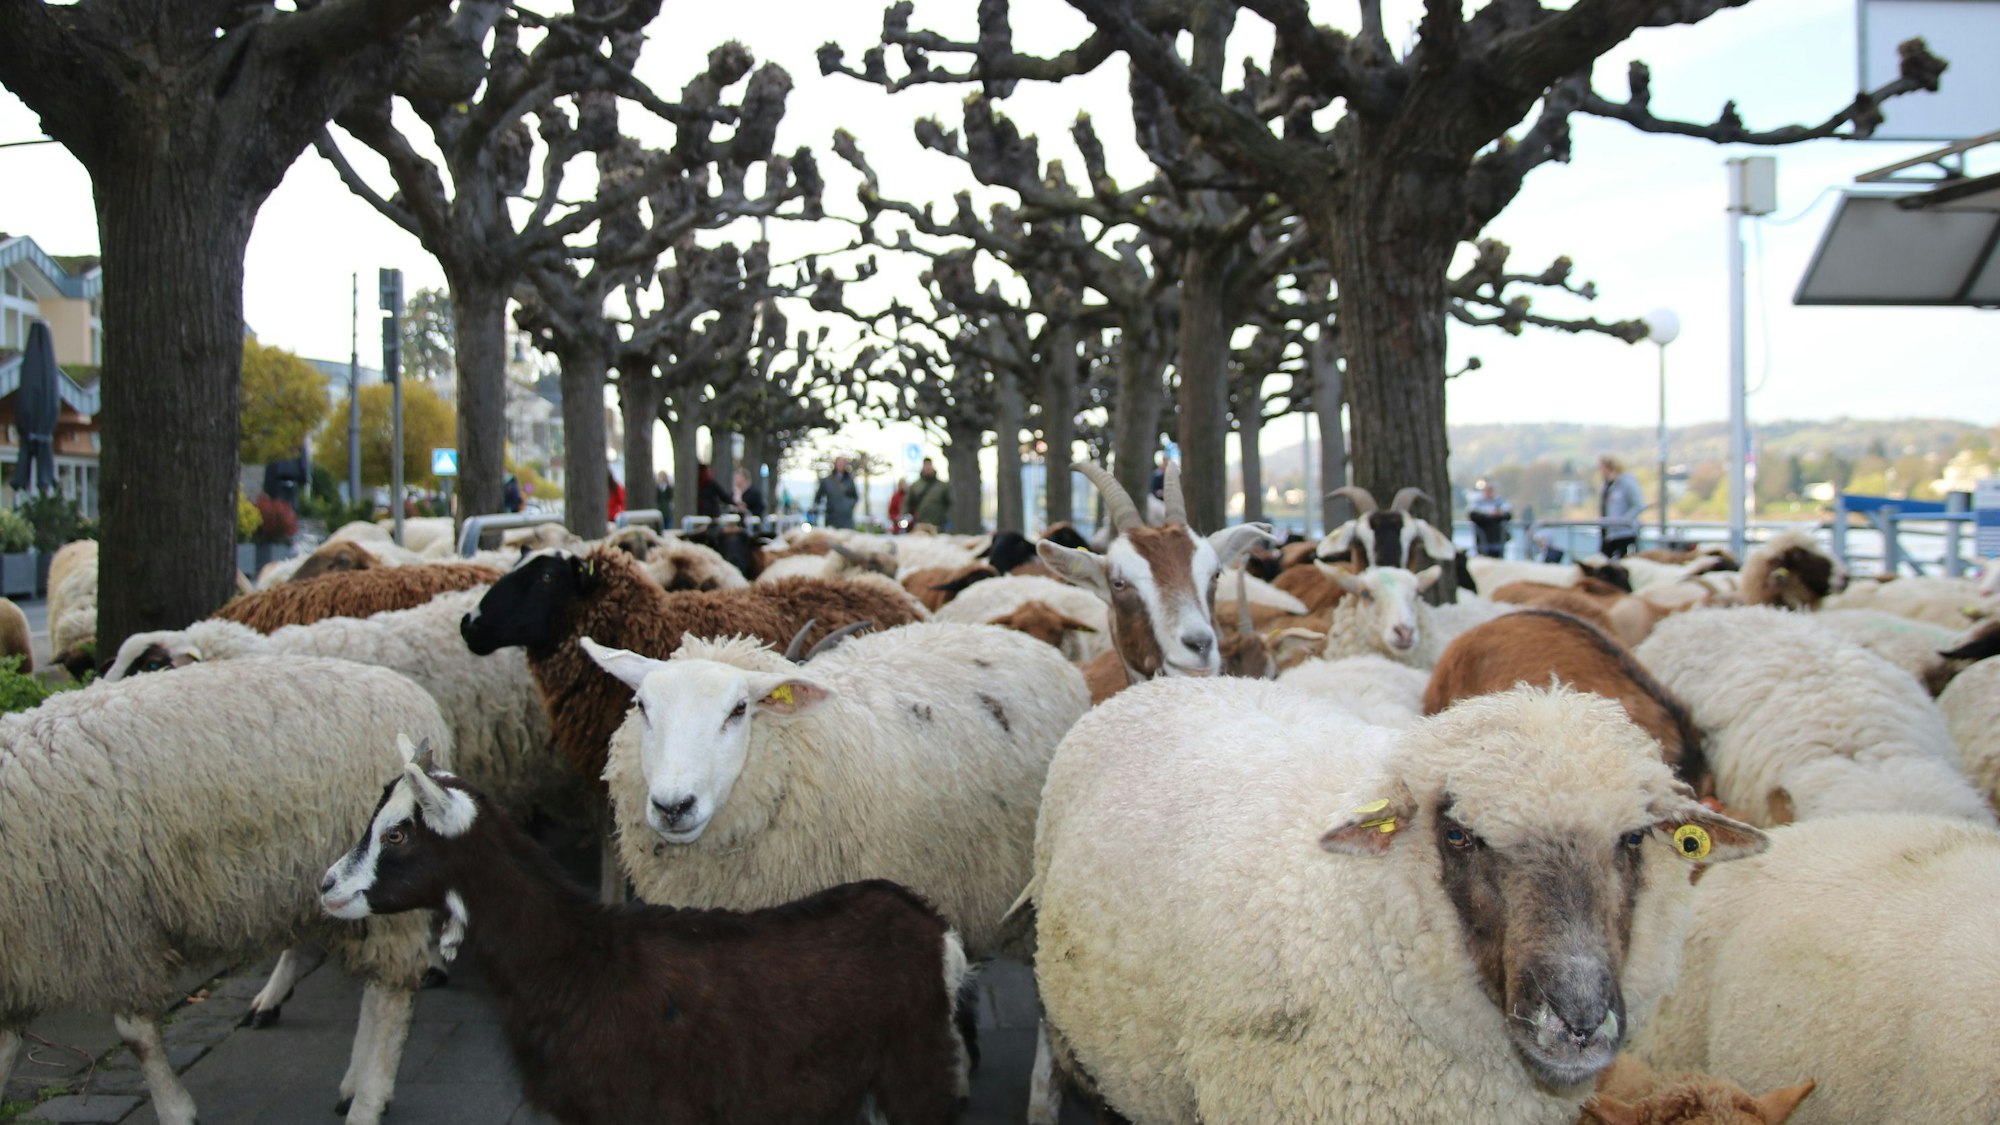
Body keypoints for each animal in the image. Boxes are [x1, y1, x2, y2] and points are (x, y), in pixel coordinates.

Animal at [0, 658, 450, 1125]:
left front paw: (176, 1109)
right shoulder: (22, 960)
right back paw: (354, 1084)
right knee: (376, 982)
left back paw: (368, 1100)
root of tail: (413, 697)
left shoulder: (115, 933)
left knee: (392, 989)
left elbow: (136, 1036)